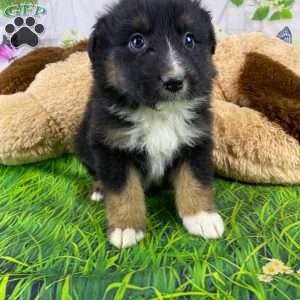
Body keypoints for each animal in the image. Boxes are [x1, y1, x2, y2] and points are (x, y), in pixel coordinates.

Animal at [75, 0, 225, 248]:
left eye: (189, 39)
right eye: (137, 41)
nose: (174, 81)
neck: (159, 114)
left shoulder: (196, 139)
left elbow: (195, 179)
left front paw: (201, 217)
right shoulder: (112, 145)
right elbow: (123, 190)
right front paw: (126, 226)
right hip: (83, 144)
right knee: (96, 172)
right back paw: (99, 190)